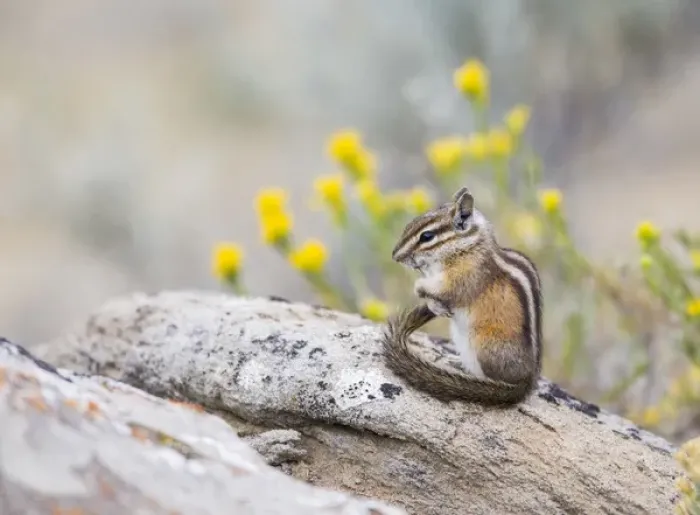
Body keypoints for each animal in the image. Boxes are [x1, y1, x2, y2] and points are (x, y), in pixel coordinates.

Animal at [381, 186, 542, 406]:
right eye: (410, 224)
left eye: (427, 236)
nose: (395, 255)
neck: (466, 247)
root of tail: (527, 383)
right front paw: (433, 304)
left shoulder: (463, 278)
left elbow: (442, 290)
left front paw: (422, 289)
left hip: (482, 344)